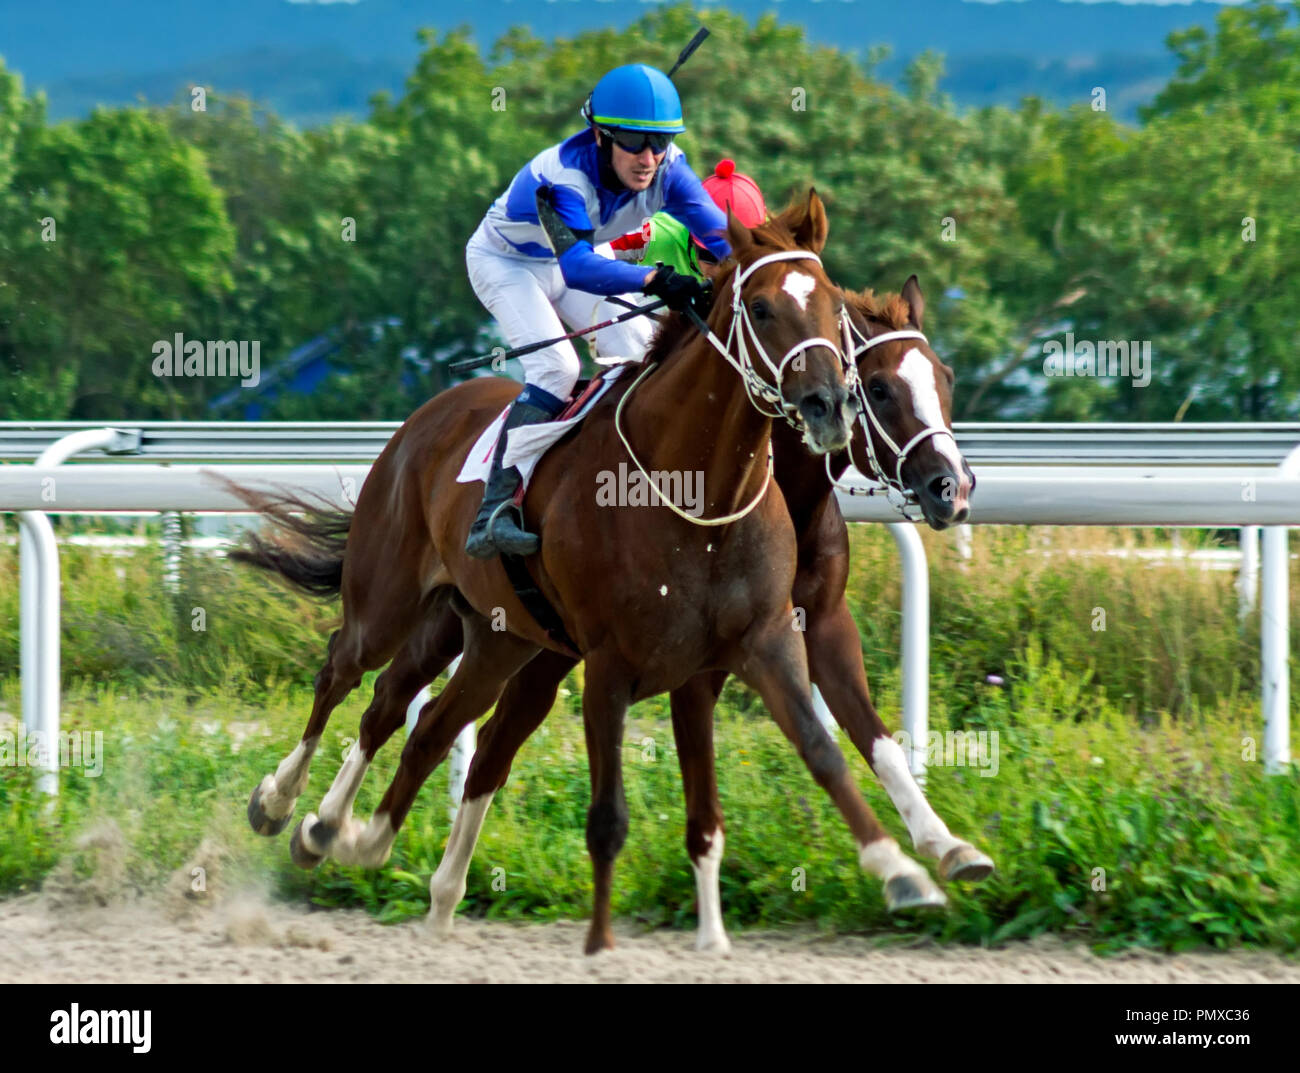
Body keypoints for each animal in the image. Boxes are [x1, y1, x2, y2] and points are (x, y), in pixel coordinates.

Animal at [236, 189, 935, 946]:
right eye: (761, 308)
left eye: (833, 306)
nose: (829, 406)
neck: (697, 489)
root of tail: (424, 418)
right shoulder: (609, 662)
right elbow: (608, 817)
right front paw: (602, 942)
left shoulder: (766, 639)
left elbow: (822, 748)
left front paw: (906, 870)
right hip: (390, 599)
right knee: (346, 673)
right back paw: (282, 805)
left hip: (496, 635)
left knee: (422, 721)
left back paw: (358, 843)